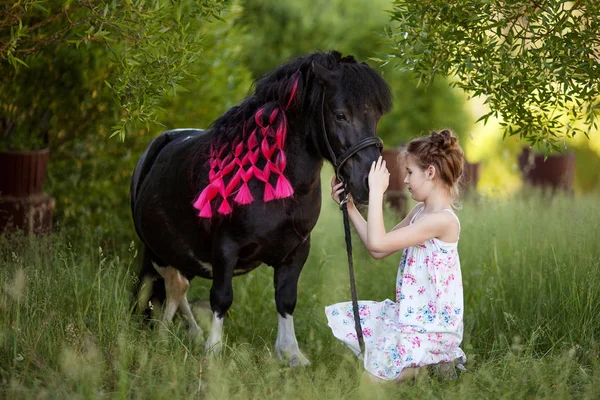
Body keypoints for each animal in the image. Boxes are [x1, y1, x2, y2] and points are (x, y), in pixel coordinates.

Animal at [131, 51, 392, 368]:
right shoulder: (225, 249)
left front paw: (291, 354)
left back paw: (182, 334)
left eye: (376, 116)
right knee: (167, 287)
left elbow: (286, 298)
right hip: (156, 250)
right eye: (340, 114)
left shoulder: (296, 251)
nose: (369, 184)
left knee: (177, 287)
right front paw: (214, 351)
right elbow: (221, 297)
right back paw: (168, 335)